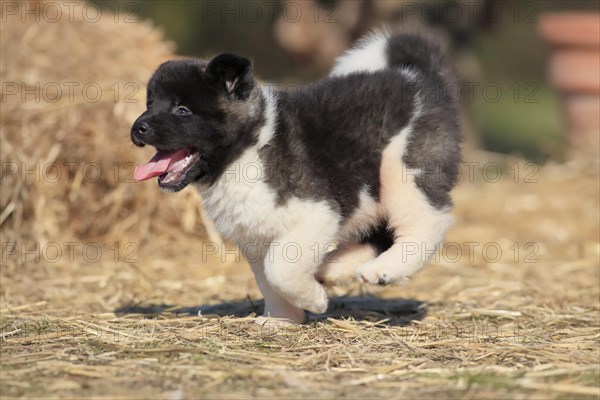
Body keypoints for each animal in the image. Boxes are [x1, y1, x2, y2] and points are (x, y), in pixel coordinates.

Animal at [130, 29, 460, 324]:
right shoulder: (255, 239)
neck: (247, 150)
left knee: (426, 220)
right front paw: (281, 319)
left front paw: (314, 301)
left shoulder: (315, 213)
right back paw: (331, 268)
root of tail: (419, 78)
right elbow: (268, 282)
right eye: (150, 104)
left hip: (402, 172)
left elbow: (280, 271)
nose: (137, 128)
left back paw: (384, 269)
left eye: (182, 110)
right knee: (380, 232)